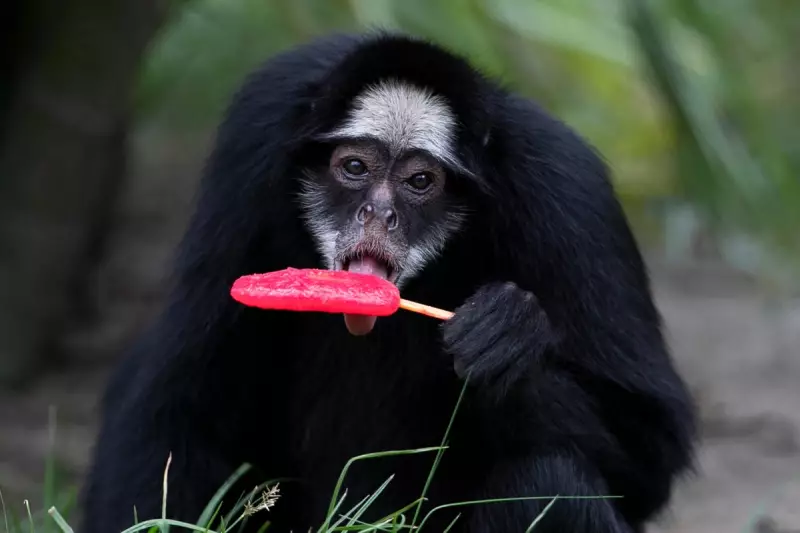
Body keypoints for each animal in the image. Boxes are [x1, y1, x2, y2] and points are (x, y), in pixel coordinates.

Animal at [80, 32, 696, 533]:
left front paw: (509, 338)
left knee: (551, 484)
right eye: (355, 169)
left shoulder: (565, 188)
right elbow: (181, 402)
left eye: (420, 181)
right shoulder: (257, 131)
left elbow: (652, 457)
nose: (379, 213)